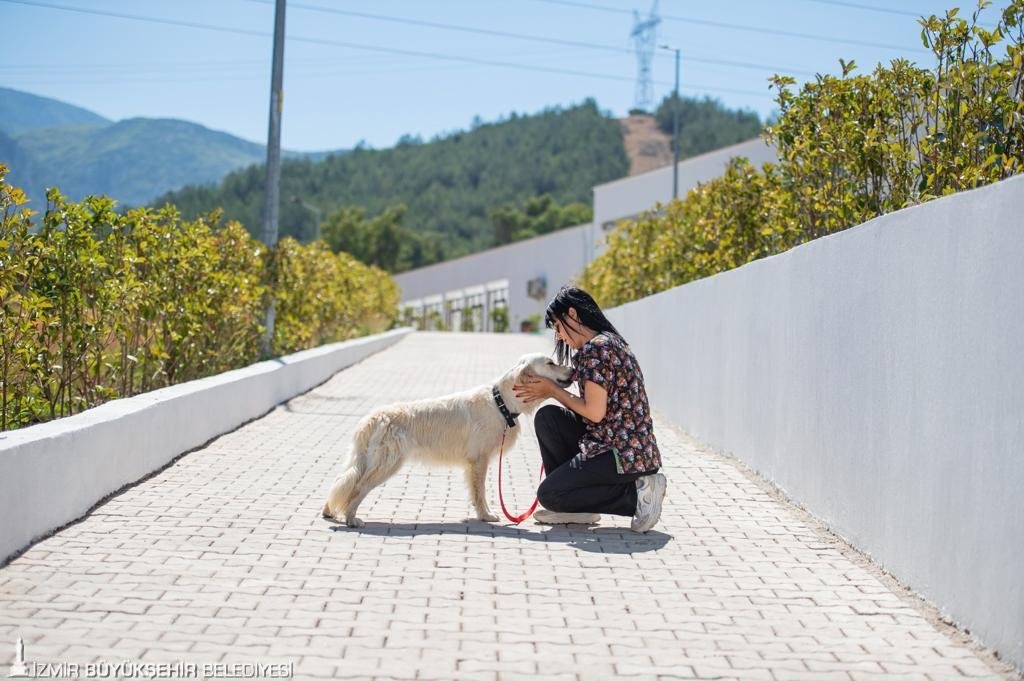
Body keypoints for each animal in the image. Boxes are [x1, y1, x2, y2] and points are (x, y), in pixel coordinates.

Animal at [321, 350, 577, 524]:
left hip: (367, 460)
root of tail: (372, 418)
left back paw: (330, 511)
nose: (574, 369)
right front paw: (486, 515)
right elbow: (480, 492)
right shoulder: (479, 459)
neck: (500, 402)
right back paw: (351, 518)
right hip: (387, 463)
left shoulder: (475, 462)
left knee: (342, 481)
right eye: (551, 362)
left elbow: (476, 492)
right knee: (357, 487)